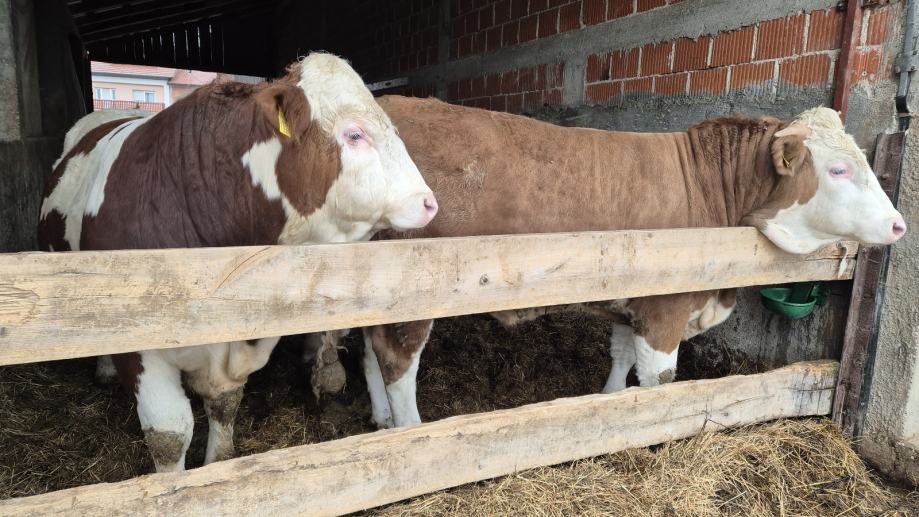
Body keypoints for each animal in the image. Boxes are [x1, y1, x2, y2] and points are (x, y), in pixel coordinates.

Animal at [306, 96, 905, 429]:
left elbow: (621, 361)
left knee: (370, 353)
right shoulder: (665, 306)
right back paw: (407, 430)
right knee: (398, 362)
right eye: (837, 170)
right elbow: (660, 378)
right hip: (411, 290)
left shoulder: (629, 299)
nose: (900, 225)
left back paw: (381, 420)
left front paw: (611, 405)